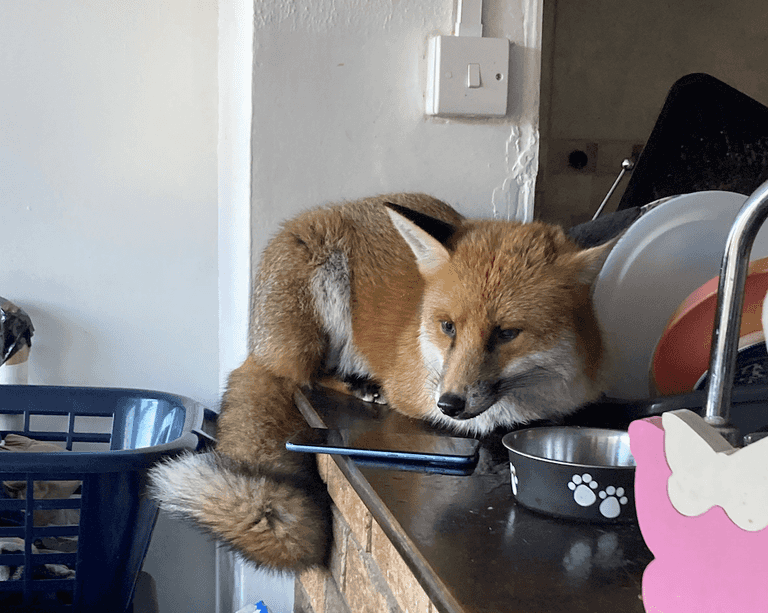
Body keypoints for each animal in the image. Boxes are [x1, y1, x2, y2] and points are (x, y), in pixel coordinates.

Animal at [148, 193, 617, 571]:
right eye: (448, 327)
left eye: (506, 334)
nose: (449, 402)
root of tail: (258, 346)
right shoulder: (417, 394)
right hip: (321, 302)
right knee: (307, 377)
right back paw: (361, 385)